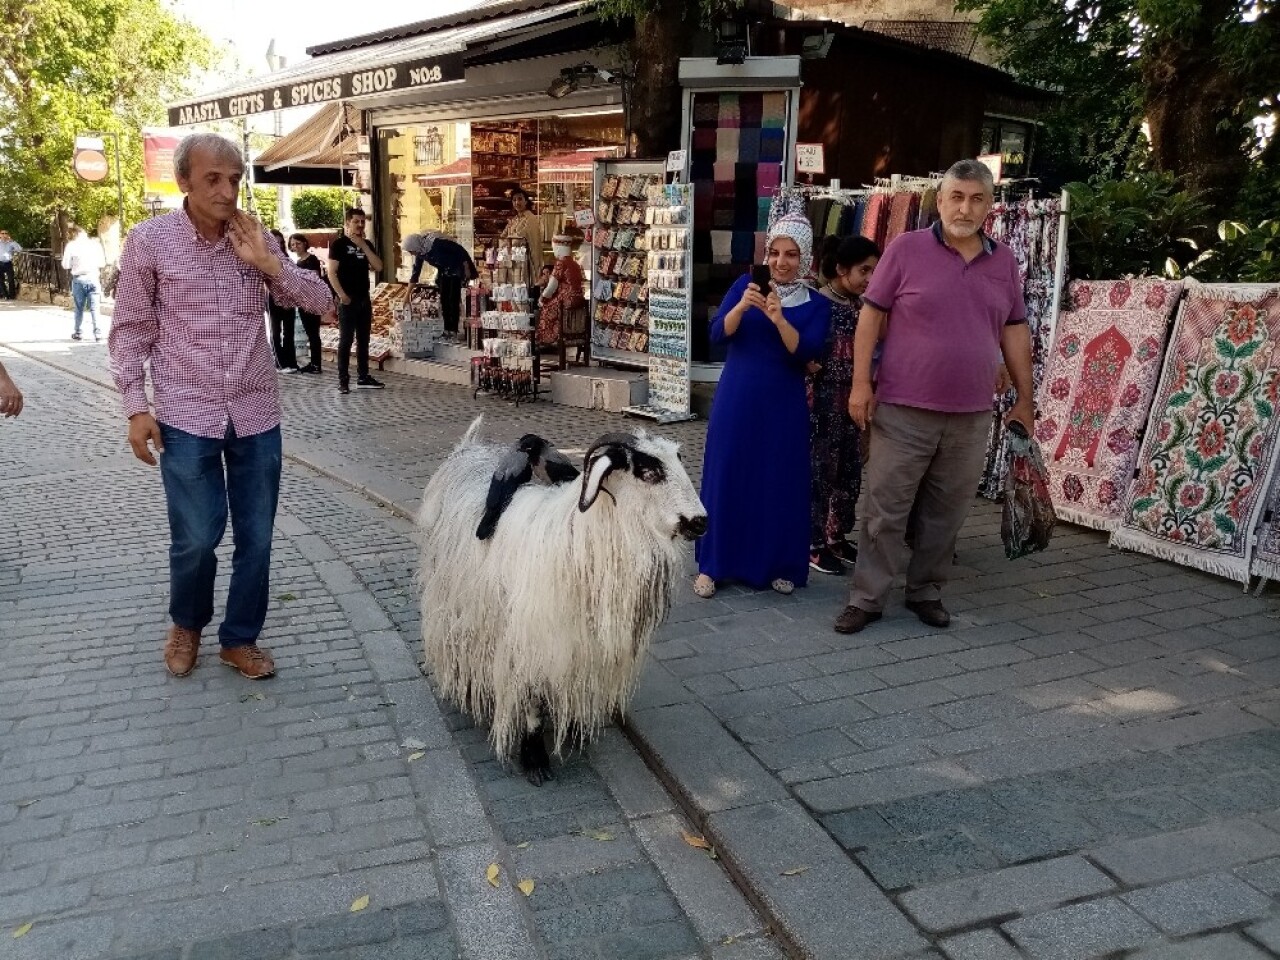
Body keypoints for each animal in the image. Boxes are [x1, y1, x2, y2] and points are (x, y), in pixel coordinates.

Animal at [414, 417, 706, 783]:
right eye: (648, 471)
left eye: (678, 460)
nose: (701, 521)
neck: (578, 537)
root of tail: (467, 448)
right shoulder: (530, 643)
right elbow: (533, 703)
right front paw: (535, 757)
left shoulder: (584, 648)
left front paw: (577, 730)